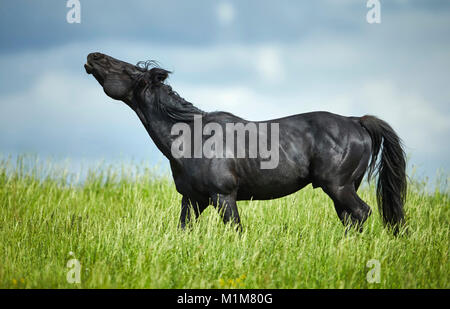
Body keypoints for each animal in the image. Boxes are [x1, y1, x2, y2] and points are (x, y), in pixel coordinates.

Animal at [85, 53, 408, 235]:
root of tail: (356, 121)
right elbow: (182, 231)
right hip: (343, 189)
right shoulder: (192, 200)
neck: (192, 137)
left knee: (362, 213)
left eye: (130, 71)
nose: (93, 56)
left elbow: (236, 232)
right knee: (352, 220)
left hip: (338, 187)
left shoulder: (223, 197)